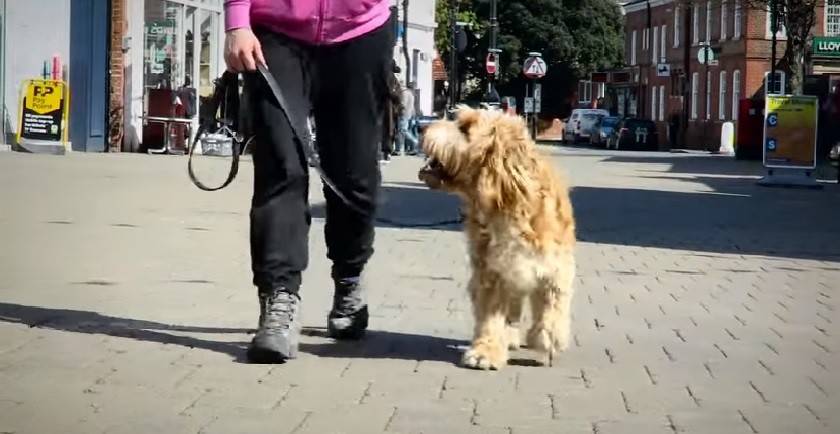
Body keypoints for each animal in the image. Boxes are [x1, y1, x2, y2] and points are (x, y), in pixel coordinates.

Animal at [416, 106, 576, 370]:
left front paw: (548, 340)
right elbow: (491, 315)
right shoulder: (491, 271)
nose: (420, 126)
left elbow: (551, 308)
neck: (506, 202)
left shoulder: (554, 267)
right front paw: (486, 351)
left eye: (465, 128)